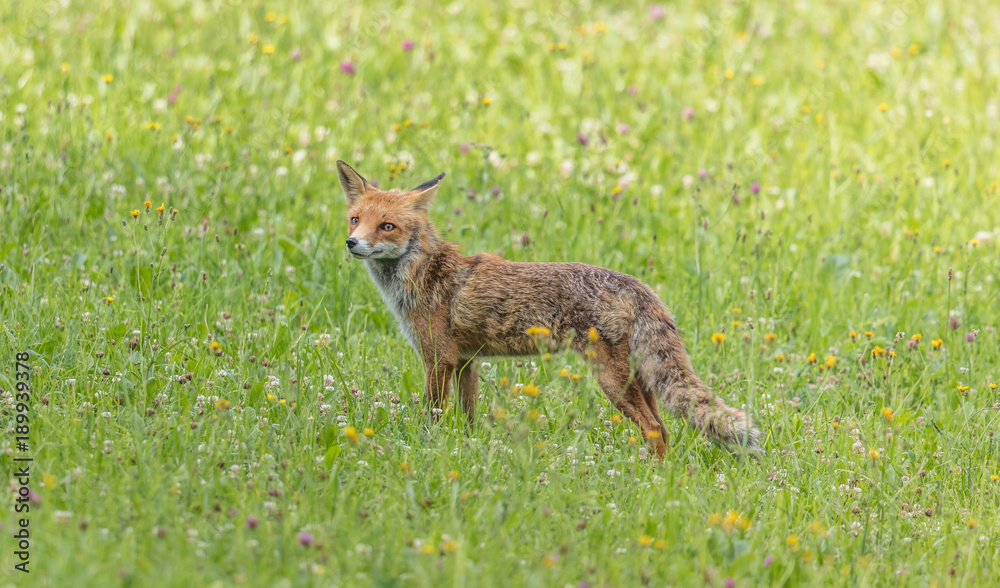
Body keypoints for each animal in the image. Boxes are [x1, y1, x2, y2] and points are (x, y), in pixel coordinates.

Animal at [337, 160, 762, 458]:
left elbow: (434, 418)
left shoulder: (437, 361)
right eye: (356, 219)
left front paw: (429, 452)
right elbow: (469, 419)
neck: (423, 276)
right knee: (665, 429)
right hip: (639, 379)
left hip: (611, 380)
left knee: (655, 432)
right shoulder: (466, 362)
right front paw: (467, 453)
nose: (351, 243)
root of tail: (637, 283)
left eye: (387, 226)